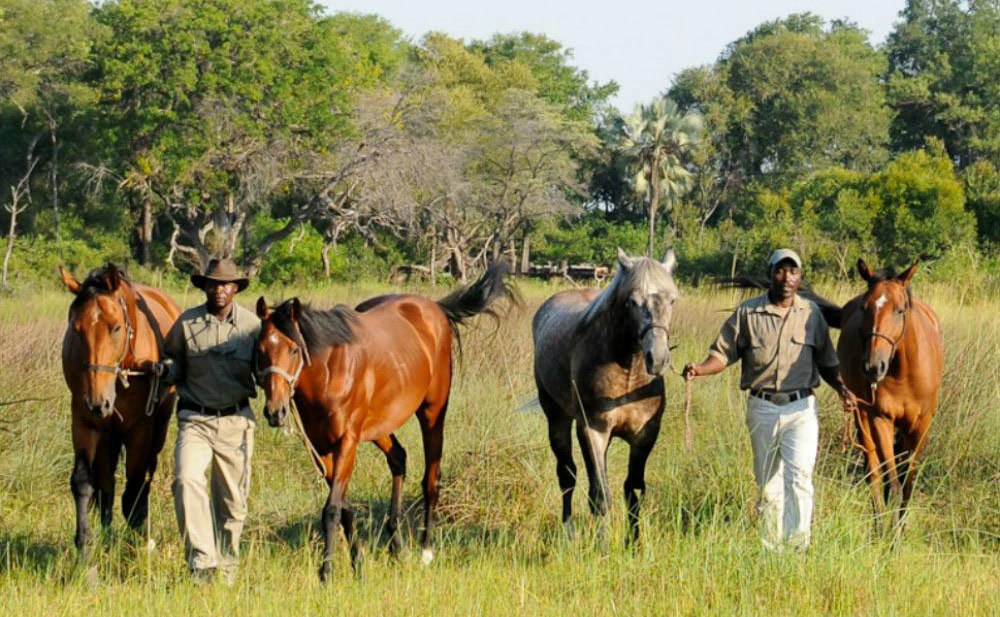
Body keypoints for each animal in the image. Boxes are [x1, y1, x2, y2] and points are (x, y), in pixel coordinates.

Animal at [59, 262, 181, 556]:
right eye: (76, 329)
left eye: (115, 328)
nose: (97, 401)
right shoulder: (84, 421)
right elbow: (84, 483)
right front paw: (85, 548)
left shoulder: (140, 429)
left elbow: (135, 486)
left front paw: (140, 539)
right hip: (108, 433)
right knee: (106, 484)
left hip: (156, 429)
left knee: (145, 476)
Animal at [254, 264, 512, 576]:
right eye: (260, 349)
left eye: (293, 349)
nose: (275, 411)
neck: (331, 372)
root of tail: (434, 308)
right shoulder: (322, 449)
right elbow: (344, 507)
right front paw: (358, 564)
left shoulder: (347, 442)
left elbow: (331, 509)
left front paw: (326, 572)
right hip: (381, 426)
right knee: (399, 458)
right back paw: (396, 544)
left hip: (433, 413)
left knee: (431, 479)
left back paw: (425, 552)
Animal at [532, 248, 680, 548]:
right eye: (632, 302)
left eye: (672, 299)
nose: (658, 359)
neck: (628, 373)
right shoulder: (593, 431)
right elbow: (600, 495)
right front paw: (602, 547)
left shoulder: (645, 435)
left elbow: (634, 490)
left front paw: (633, 544)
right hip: (557, 420)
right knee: (567, 476)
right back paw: (569, 532)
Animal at [836, 258, 944, 528]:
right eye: (865, 308)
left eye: (900, 310)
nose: (873, 367)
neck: (904, 373)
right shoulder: (880, 419)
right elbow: (892, 484)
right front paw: (889, 535)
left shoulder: (921, 424)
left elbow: (907, 484)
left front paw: (900, 531)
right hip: (861, 417)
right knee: (874, 474)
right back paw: (878, 526)